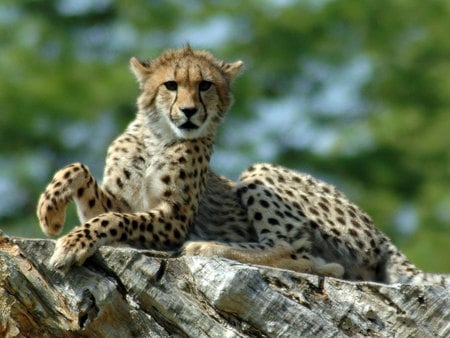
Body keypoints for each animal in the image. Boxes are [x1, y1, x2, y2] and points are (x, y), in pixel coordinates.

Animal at [37, 45, 442, 286]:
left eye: (205, 85)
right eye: (171, 85)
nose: (189, 112)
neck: (158, 135)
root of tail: (378, 230)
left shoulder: (174, 220)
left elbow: (111, 220)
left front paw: (70, 242)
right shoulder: (120, 200)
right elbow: (80, 173)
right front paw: (51, 212)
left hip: (259, 173)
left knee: (297, 252)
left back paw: (209, 247)